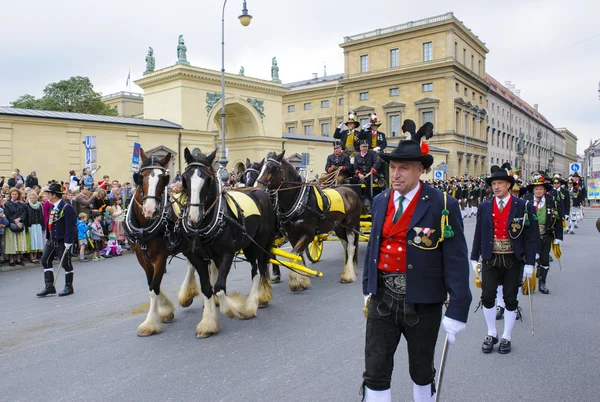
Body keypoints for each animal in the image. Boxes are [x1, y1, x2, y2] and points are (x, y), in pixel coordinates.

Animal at [124, 150, 206, 336]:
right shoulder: (142, 257)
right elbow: (152, 284)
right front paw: (164, 311)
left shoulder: (160, 257)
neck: (145, 226)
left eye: (164, 179)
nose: (150, 210)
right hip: (187, 247)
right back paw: (188, 295)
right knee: (193, 266)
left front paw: (150, 323)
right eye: (140, 177)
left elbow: (154, 287)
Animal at [179, 148, 276, 340]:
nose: (193, 218)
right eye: (185, 179)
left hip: (256, 244)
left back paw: (254, 302)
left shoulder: (226, 254)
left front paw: (237, 309)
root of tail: (260, 191)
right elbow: (207, 288)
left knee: (258, 270)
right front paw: (208, 323)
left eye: (208, 180)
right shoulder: (198, 258)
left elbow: (219, 288)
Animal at [253, 149, 360, 290]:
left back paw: (348, 275)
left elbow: (293, 255)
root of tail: (351, 191)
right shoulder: (292, 235)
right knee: (346, 245)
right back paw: (348, 268)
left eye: (272, 168)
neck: (300, 202)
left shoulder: (307, 235)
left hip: (351, 225)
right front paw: (301, 280)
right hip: (339, 227)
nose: (256, 189)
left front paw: (296, 280)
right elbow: (297, 256)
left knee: (351, 247)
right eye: (261, 169)